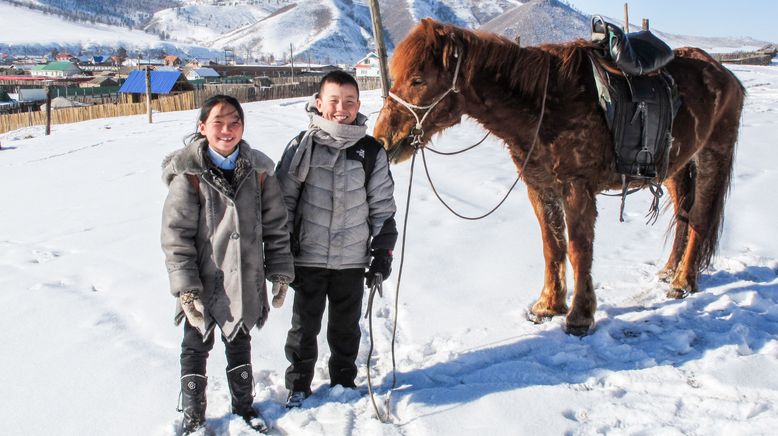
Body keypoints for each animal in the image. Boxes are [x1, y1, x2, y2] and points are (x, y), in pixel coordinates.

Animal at [372, 18, 744, 336]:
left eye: (418, 79)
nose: (382, 139)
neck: (543, 105)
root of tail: (724, 74)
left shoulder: (577, 188)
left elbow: (579, 250)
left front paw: (580, 316)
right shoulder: (540, 188)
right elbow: (552, 246)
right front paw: (548, 304)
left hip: (713, 153)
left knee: (700, 217)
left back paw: (683, 281)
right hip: (676, 166)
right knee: (683, 215)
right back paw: (669, 270)